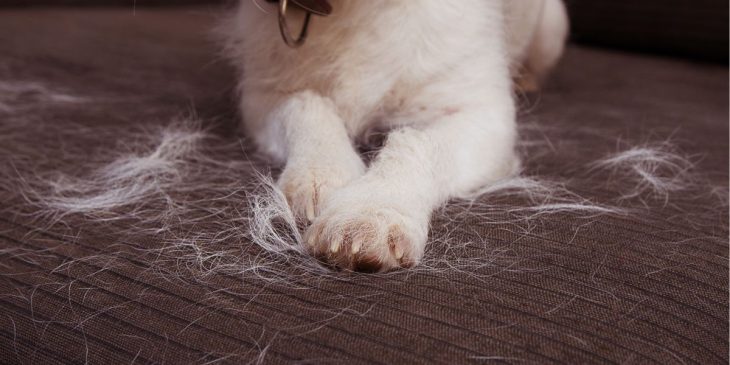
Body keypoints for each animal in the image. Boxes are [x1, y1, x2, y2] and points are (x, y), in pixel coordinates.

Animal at [222, 0, 568, 268]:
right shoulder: (263, 98)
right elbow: (307, 106)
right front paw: (321, 172)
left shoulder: (483, 115)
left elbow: (419, 142)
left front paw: (371, 211)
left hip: (552, 28)